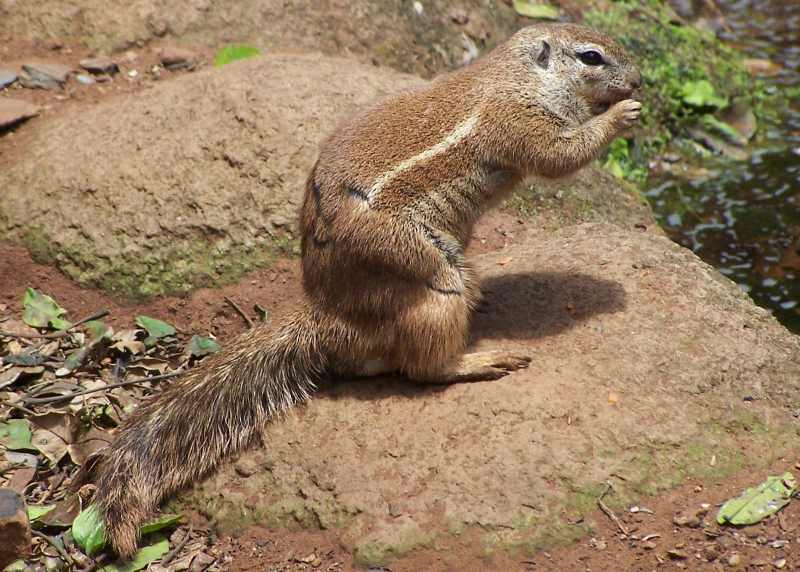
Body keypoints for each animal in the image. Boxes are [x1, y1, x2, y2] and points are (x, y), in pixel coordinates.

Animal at [79, 23, 642, 558]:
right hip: (420, 276)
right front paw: (620, 117)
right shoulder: (519, 121)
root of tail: (329, 313)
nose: (638, 82)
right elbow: (558, 157)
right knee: (424, 367)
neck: (521, 76)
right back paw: (480, 359)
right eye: (592, 57)